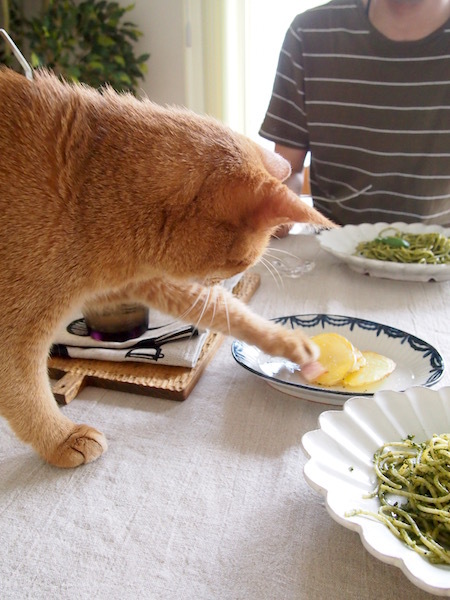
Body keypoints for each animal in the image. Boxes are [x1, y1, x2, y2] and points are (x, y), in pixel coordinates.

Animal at [0, 67, 334, 468]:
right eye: (240, 262)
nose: (221, 279)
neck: (87, 190)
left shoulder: (147, 279)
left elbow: (233, 314)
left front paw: (291, 343)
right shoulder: (16, 334)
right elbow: (28, 394)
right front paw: (61, 439)